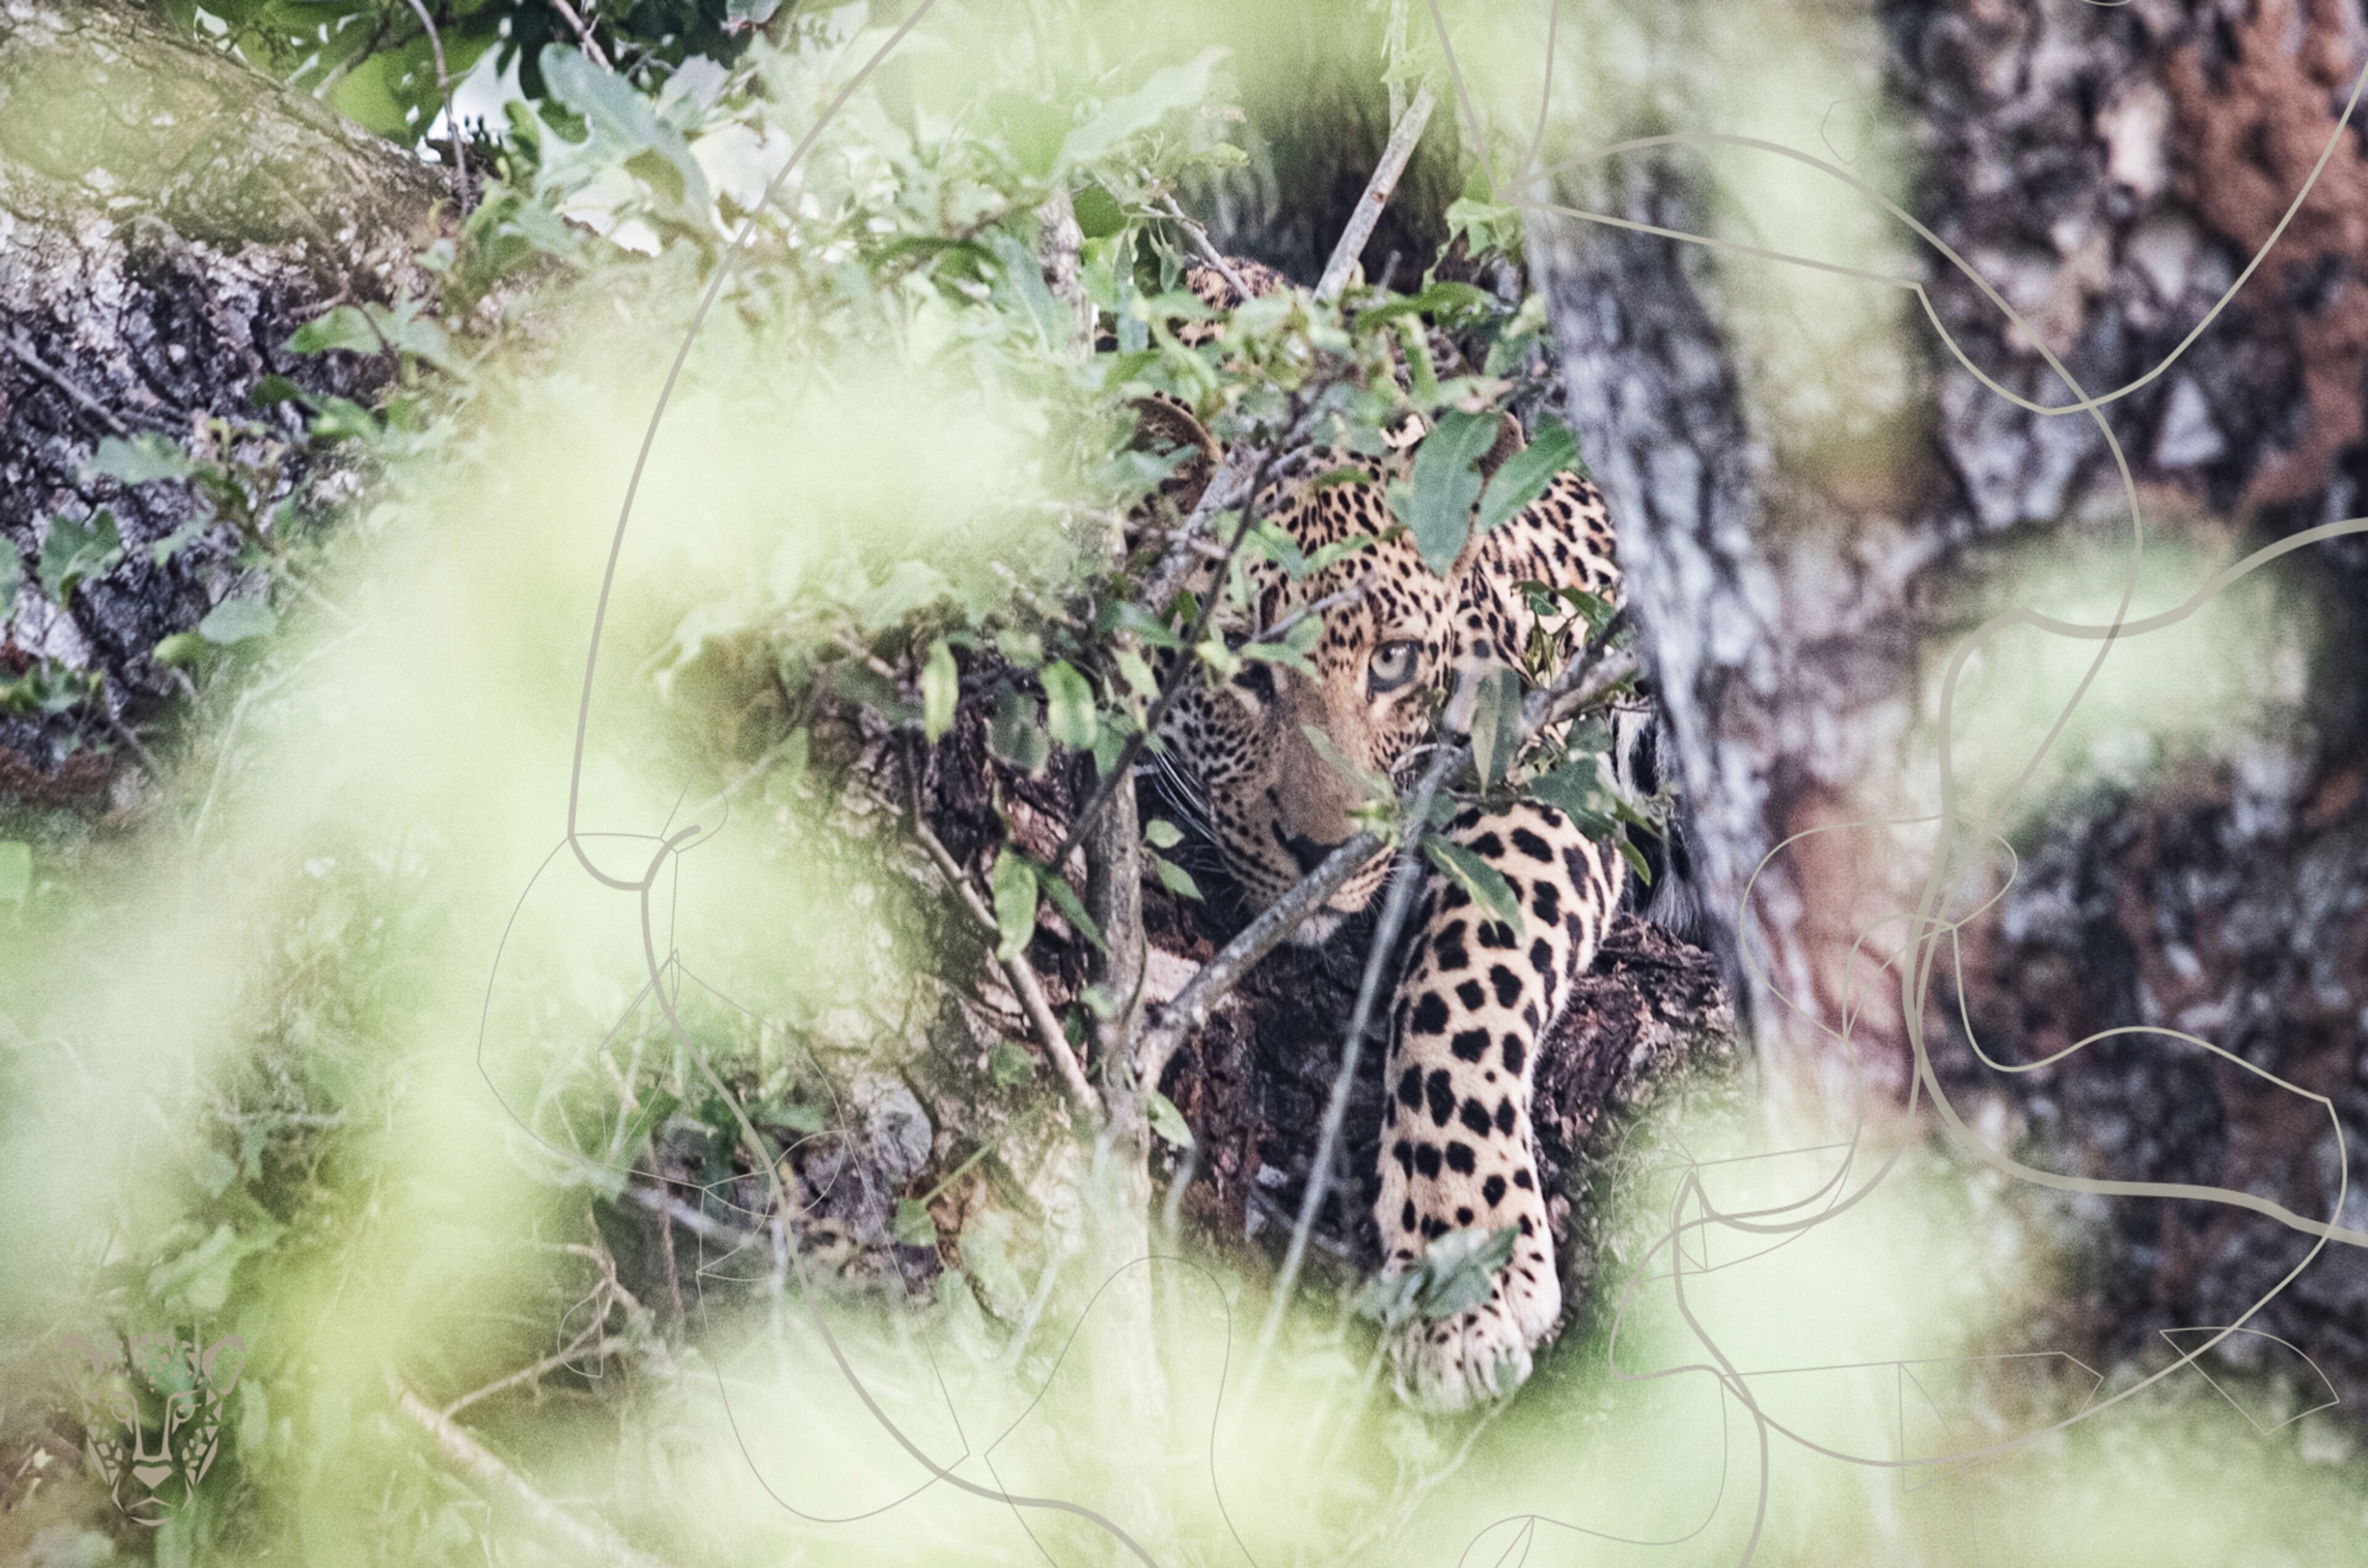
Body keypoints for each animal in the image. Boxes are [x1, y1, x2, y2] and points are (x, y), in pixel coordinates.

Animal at [1137, 256, 1632, 1413]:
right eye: (1239, 662)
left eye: (1395, 662)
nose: (1321, 850)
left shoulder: (1559, 766)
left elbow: (1465, 975)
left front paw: (1467, 1264)